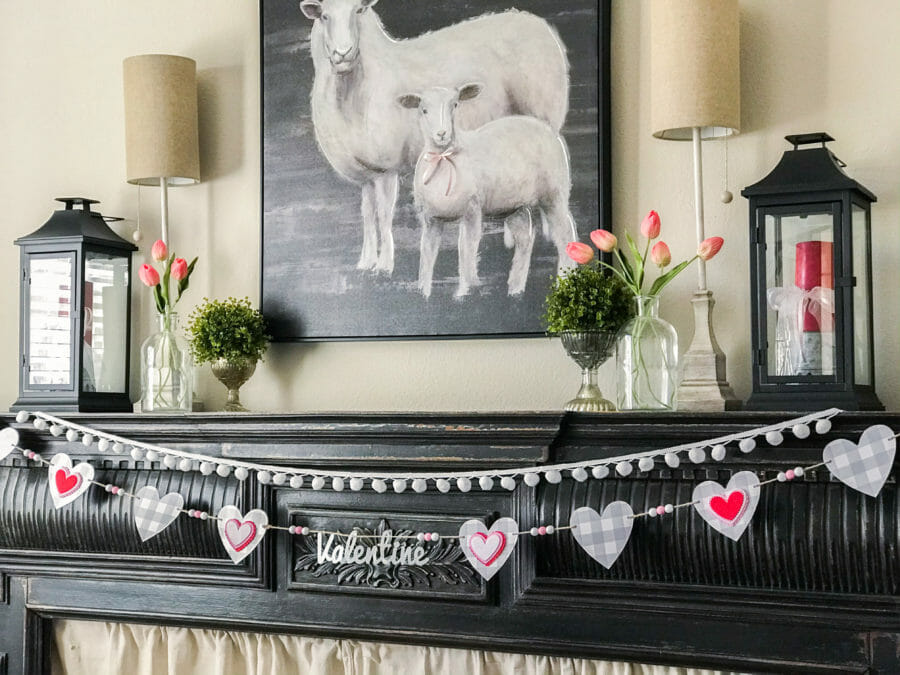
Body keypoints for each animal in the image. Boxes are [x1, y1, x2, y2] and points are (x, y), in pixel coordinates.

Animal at [302, 0, 568, 276]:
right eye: (324, 16)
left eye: (358, 11)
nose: (343, 53)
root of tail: (534, 21)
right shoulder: (366, 173)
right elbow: (367, 214)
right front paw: (365, 262)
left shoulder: (387, 168)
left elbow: (384, 214)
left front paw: (385, 265)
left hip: (544, 115)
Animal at [400, 83, 576, 298]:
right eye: (423, 110)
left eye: (455, 105)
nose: (442, 134)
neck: (444, 158)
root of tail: (548, 130)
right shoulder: (430, 219)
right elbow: (426, 256)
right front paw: (423, 293)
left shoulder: (472, 209)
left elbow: (467, 249)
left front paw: (465, 292)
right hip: (513, 204)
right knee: (525, 238)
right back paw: (515, 288)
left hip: (553, 193)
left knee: (565, 233)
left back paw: (564, 281)